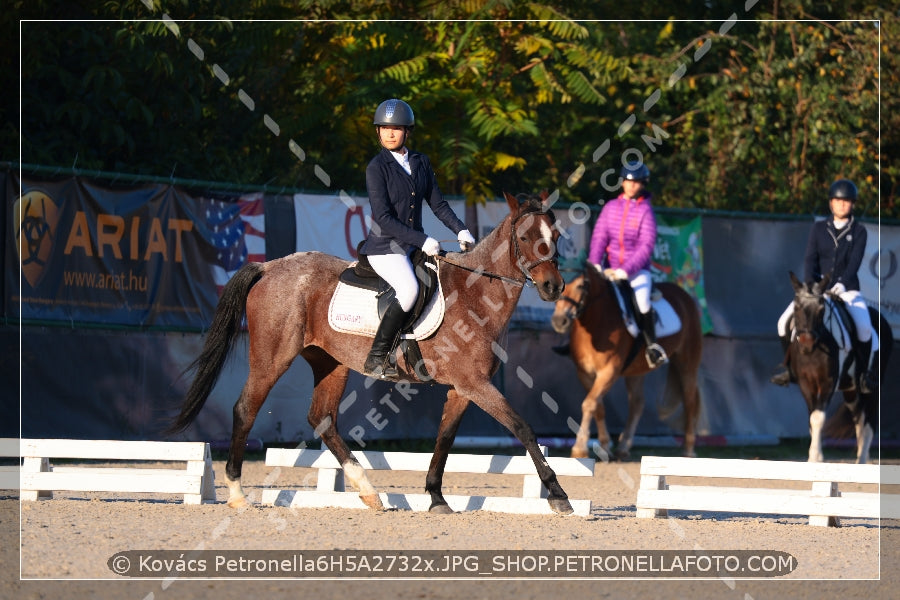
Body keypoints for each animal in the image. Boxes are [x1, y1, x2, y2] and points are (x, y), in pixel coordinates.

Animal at [170, 193, 576, 516]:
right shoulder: (474, 384)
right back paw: (237, 494)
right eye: (524, 237)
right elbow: (523, 428)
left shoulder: (463, 389)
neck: (476, 297)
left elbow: (444, 441)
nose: (553, 287)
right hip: (272, 358)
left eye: (555, 237)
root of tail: (268, 266)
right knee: (246, 409)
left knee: (322, 419)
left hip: (330, 362)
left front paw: (436, 498)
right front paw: (559, 496)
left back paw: (369, 492)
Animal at [548, 264, 704, 460]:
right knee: (637, 404)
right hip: (636, 370)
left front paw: (580, 448)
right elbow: (598, 406)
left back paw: (689, 449)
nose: (559, 321)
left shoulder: (609, 371)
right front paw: (605, 447)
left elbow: (589, 404)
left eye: (582, 285)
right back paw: (623, 446)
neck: (595, 324)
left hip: (687, 363)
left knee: (689, 401)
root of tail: (684, 295)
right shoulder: (584, 373)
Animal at [784, 272, 888, 464]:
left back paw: (862, 459)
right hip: (851, 390)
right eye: (796, 307)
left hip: (873, 386)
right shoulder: (806, 383)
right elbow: (812, 418)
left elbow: (818, 417)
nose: (807, 343)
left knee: (869, 422)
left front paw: (815, 457)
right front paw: (815, 455)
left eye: (821, 309)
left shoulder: (828, 382)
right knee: (858, 418)